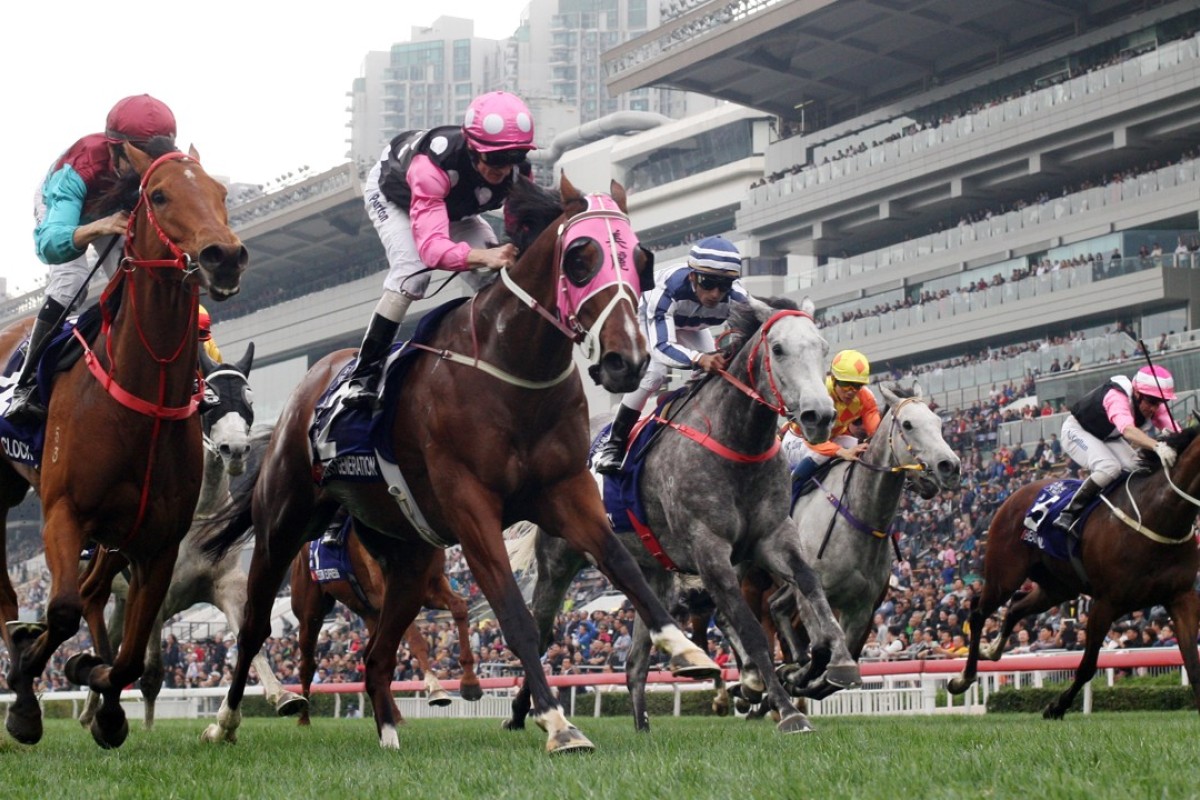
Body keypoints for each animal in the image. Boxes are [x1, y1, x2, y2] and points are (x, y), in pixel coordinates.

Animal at [0, 140, 247, 748]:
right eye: (157, 195)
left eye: (220, 192)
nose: (224, 256)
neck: (141, 394)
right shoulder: (63, 513)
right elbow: (61, 611)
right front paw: (30, 686)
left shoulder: (156, 543)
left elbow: (132, 655)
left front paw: (102, 697)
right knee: (15, 593)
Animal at [79, 340, 304, 729]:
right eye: (208, 399)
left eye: (249, 397)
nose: (235, 449)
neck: (200, 515)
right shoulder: (157, 590)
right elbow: (152, 673)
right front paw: (147, 729)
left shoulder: (225, 583)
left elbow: (249, 638)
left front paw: (281, 697)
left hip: (121, 600)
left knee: (110, 638)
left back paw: (90, 709)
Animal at [200, 175, 715, 758]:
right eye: (581, 258)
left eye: (642, 260)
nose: (626, 361)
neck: (511, 371)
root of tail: (306, 388)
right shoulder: (471, 508)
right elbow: (515, 615)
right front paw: (558, 723)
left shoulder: (567, 491)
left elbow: (623, 566)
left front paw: (688, 650)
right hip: (282, 529)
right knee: (255, 628)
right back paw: (227, 721)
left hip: (406, 558)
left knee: (376, 653)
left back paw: (389, 731)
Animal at [511, 297, 859, 734]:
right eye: (778, 349)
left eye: (822, 347)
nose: (820, 415)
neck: (736, 442)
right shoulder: (709, 551)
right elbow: (751, 631)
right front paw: (788, 710)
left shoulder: (774, 536)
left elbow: (810, 584)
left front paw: (835, 663)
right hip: (558, 564)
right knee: (540, 634)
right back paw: (522, 714)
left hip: (651, 575)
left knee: (635, 660)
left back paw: (642, 726)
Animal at [945, 424, 1200, 719]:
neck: (1159, 514)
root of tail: (1014, 496)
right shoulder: (1106, 602)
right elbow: (1087, 666)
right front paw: (1056, 707)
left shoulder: (1181, 598)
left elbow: (1192, 661)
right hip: (1004, 575)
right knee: (978, 611)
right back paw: (963, 678)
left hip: (1057, 587)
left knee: (1016, 607)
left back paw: (992, 649)